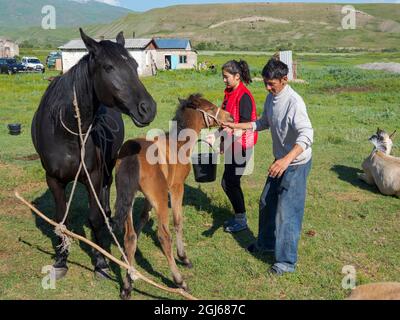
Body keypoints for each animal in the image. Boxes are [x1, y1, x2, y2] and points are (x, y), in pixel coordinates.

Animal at [31, 30, 156, 280]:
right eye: (108, 67)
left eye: (135, 65)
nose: (148, 109)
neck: (66, 132)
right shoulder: (53, 180)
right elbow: (61, 219)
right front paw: (61, 260)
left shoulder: (94, 176)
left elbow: (95, 218)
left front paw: (101, 262)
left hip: (107, 167)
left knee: (105, 193)